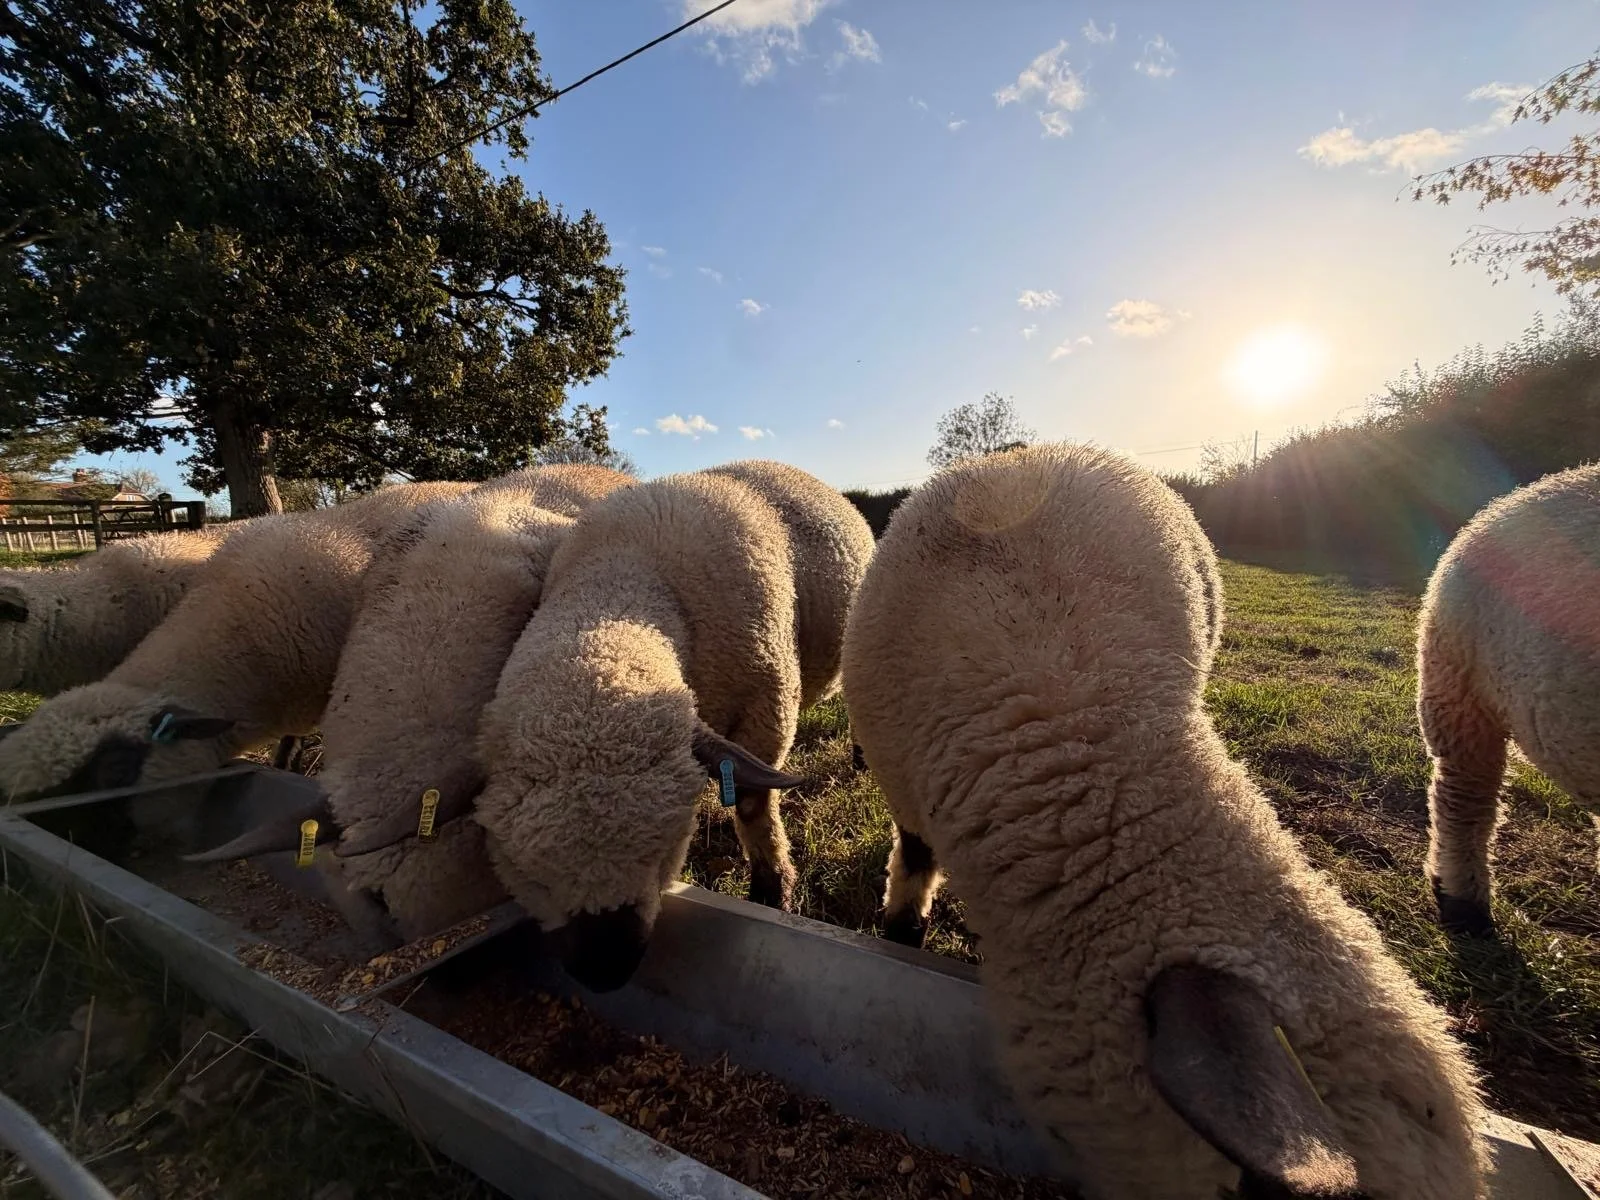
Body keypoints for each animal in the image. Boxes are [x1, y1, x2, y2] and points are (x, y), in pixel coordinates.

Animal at [470, 469, 812, 992]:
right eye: (532, 877)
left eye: (666, 850)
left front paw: (773, 892)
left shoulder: (766, 709)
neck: (622, 585)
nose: (604, 973)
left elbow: (755, 805)